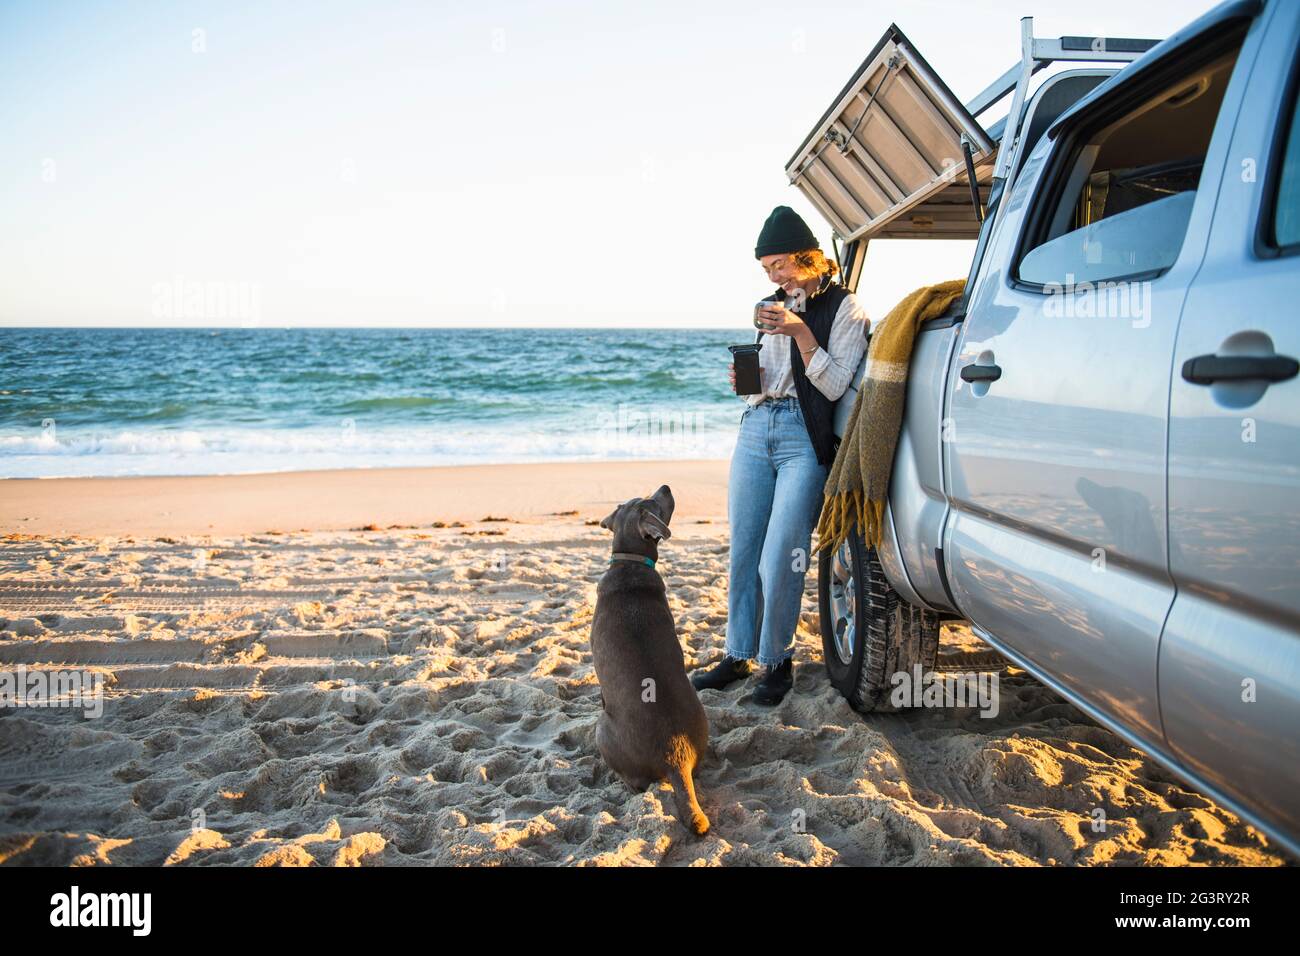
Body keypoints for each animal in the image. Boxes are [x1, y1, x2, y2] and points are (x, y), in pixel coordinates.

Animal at [592, 486, 712, 837]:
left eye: (654, 503)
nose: (666, 486)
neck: (629, 562)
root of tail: (676, 758)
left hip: (601, 728)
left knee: (633, 782)